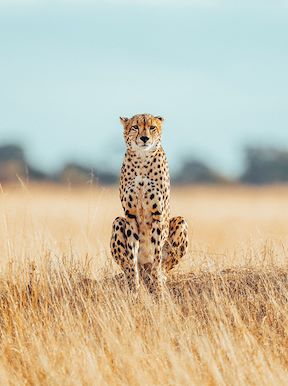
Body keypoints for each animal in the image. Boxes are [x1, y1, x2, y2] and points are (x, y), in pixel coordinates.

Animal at [110, 114, 189, 292]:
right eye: (135, 127)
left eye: (152, 127)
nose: (144, 138)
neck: (142, 159)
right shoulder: (130, 216)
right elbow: (131, 256)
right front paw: (134, 287)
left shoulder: (157, 215)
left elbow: (157, 255)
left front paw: (157, 286)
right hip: (118, 221)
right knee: (128, 265)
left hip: (180, 221)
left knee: (164, 265)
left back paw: (160, 277)